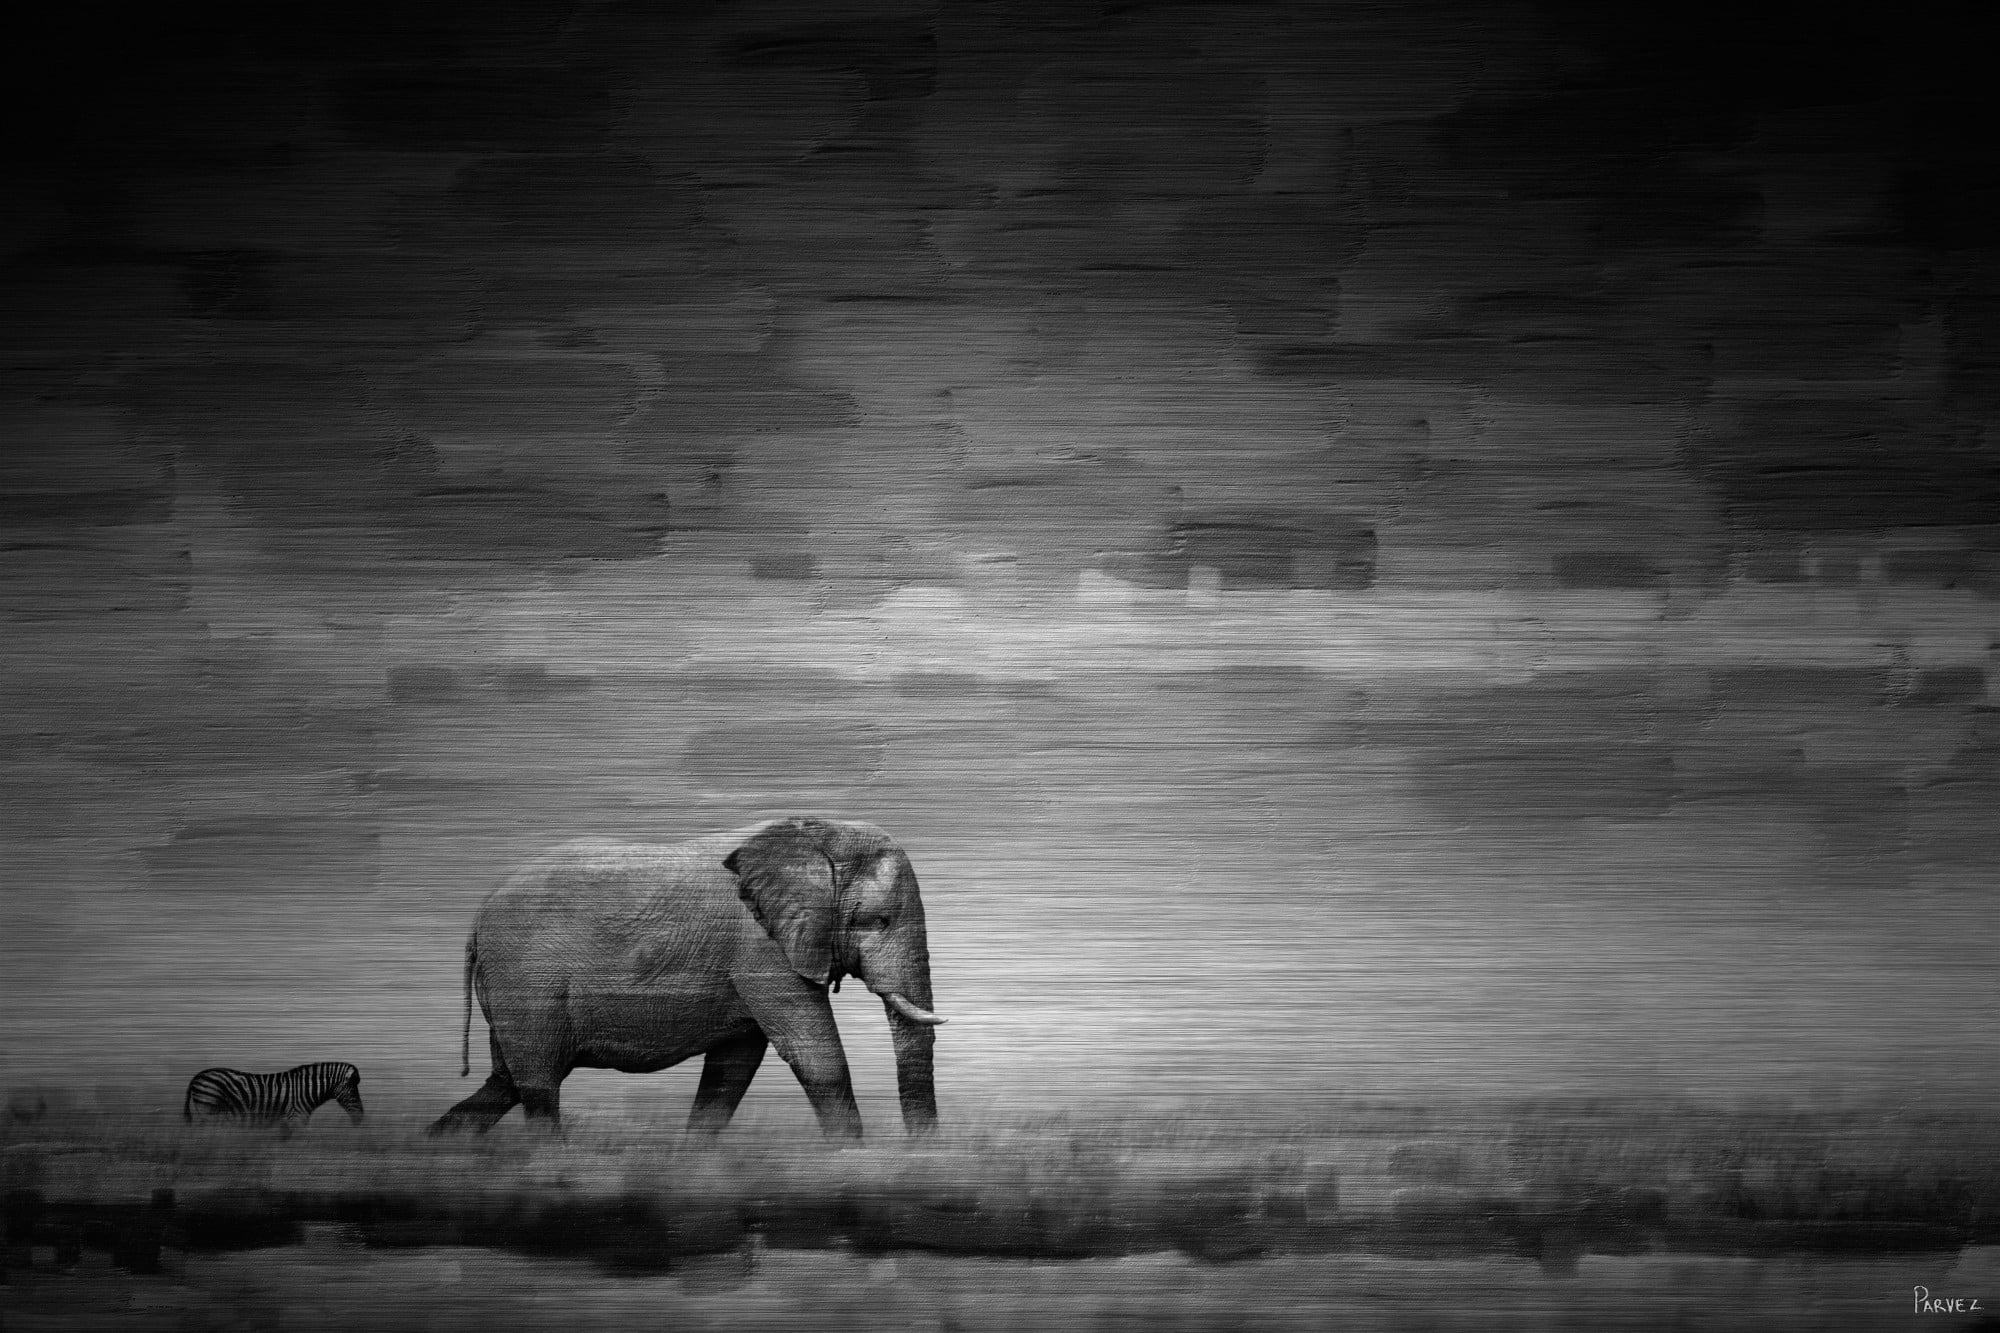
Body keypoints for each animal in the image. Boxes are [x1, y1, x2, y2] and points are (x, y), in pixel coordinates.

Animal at [428, 816, 945, 1139]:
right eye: (876, 921)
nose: (920, 1163)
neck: (818, 832)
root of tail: (477, 918)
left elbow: (730, 1071)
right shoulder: (759, 946)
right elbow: (816, 1056)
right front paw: (853, 1166)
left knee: (506, 1083)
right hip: (523, 979)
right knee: (537, 1087)